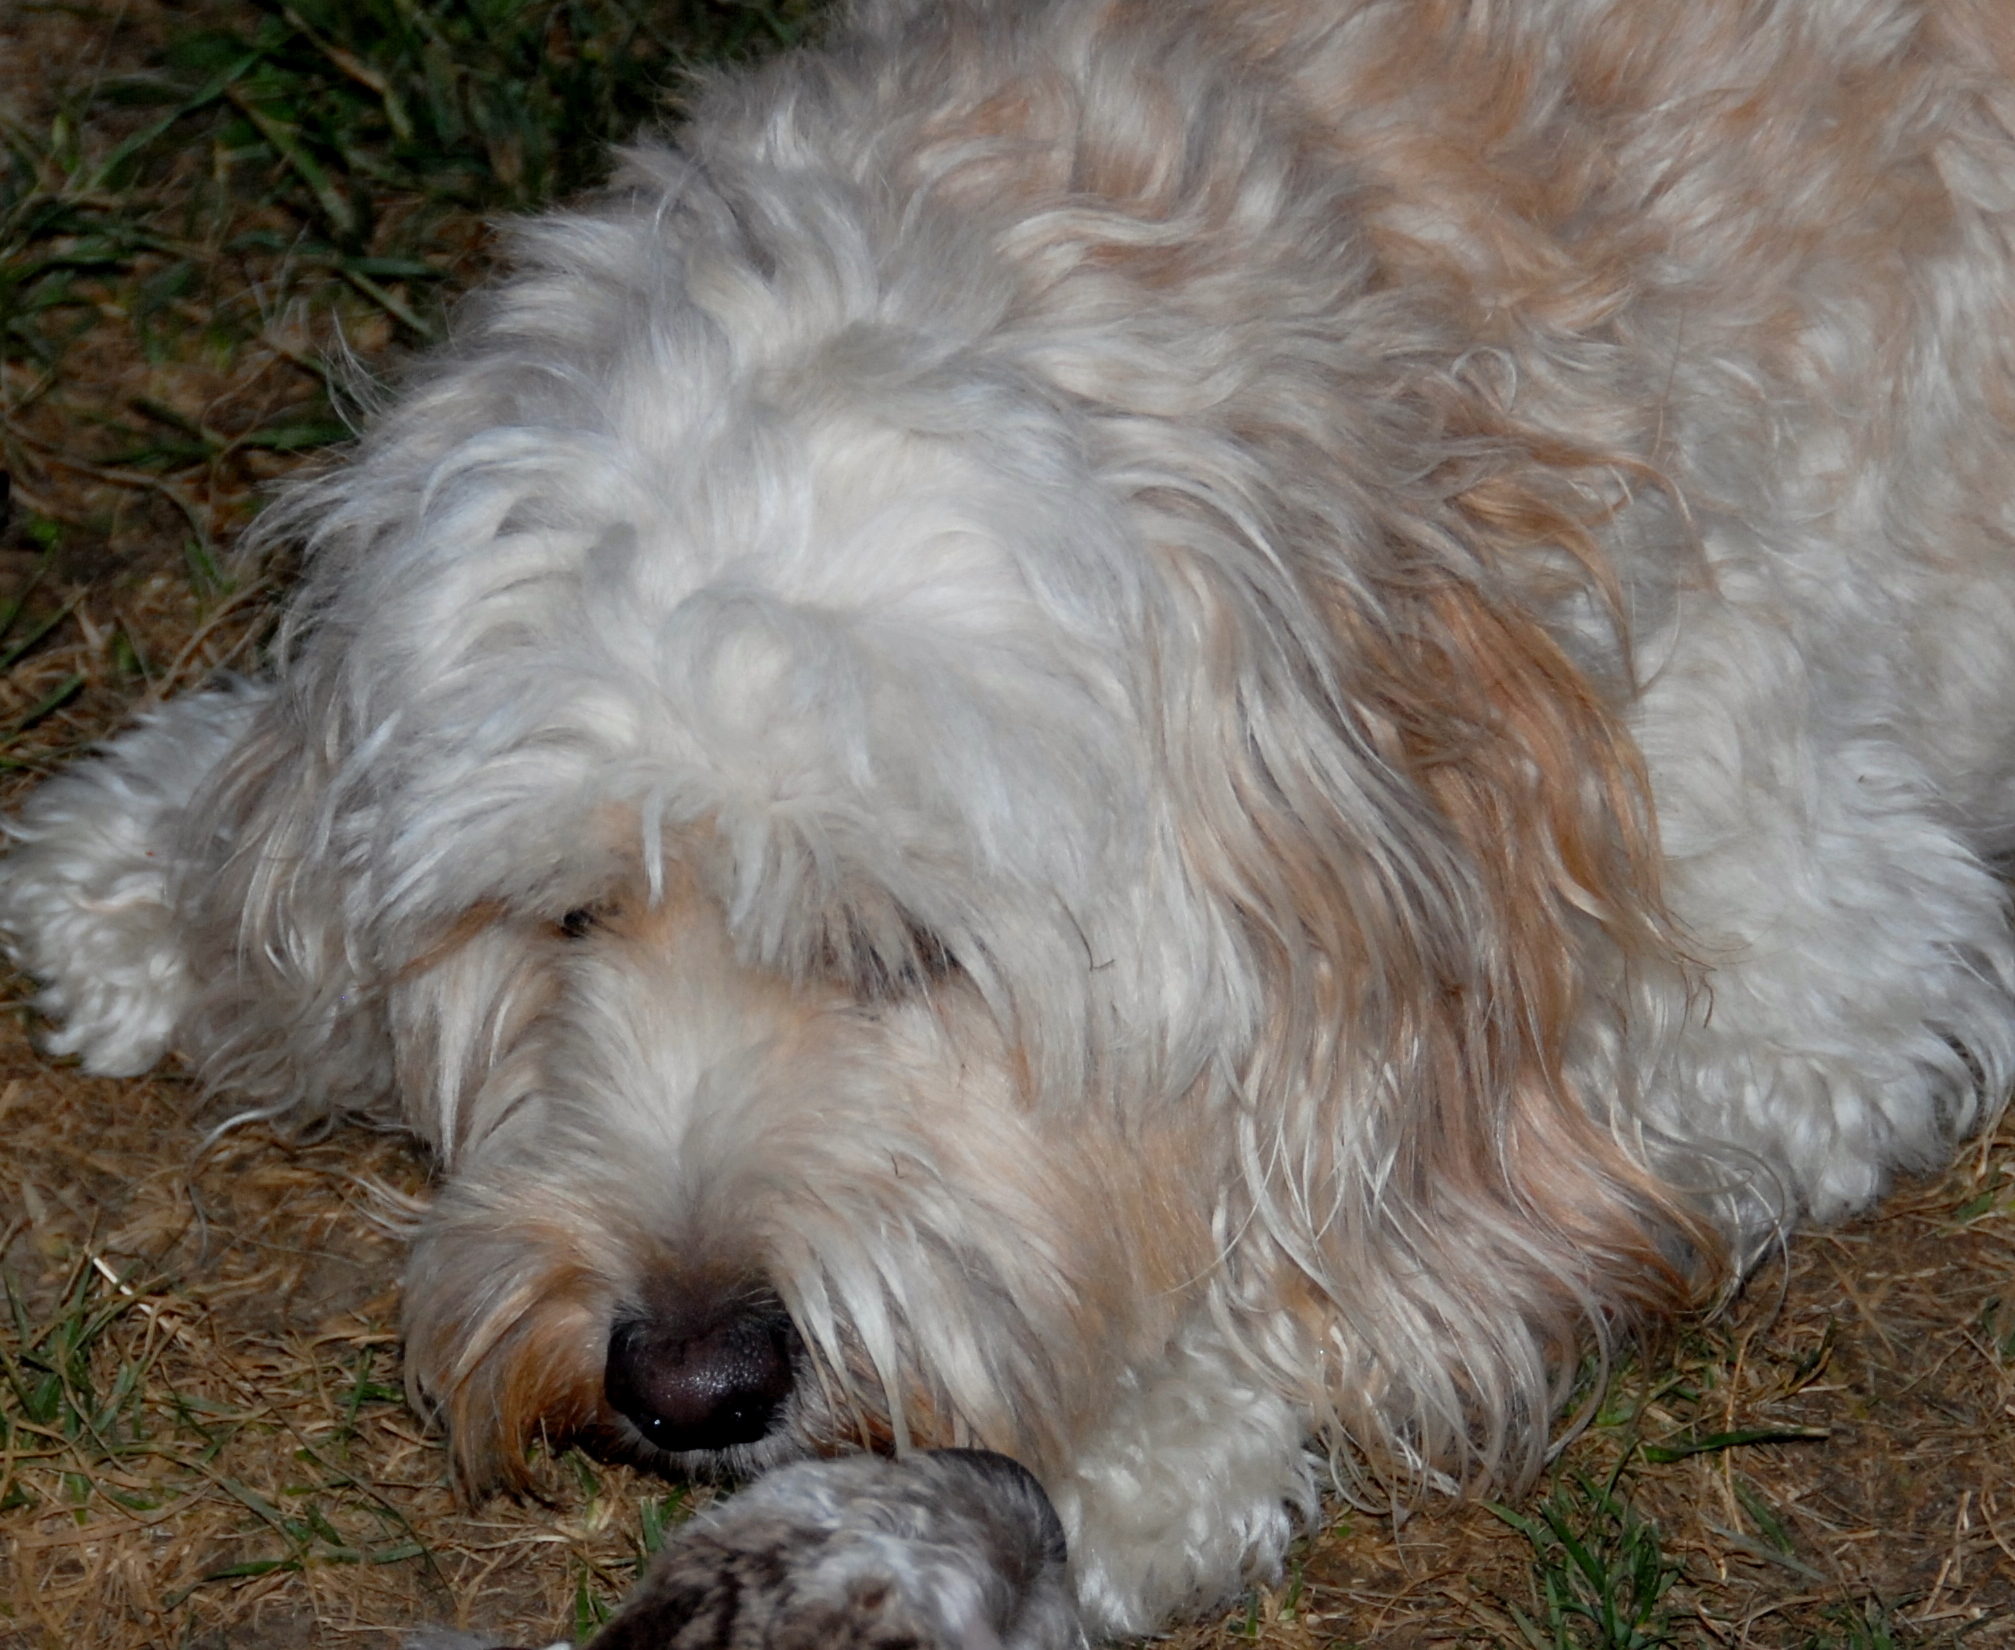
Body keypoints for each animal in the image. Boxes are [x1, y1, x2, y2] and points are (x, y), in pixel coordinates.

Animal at [6, 0, 2015, 1637]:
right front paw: (150, 876)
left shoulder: (1805, 958)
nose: (688, 1384)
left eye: (907, 952)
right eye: (566, 915)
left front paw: (1132, 1443)